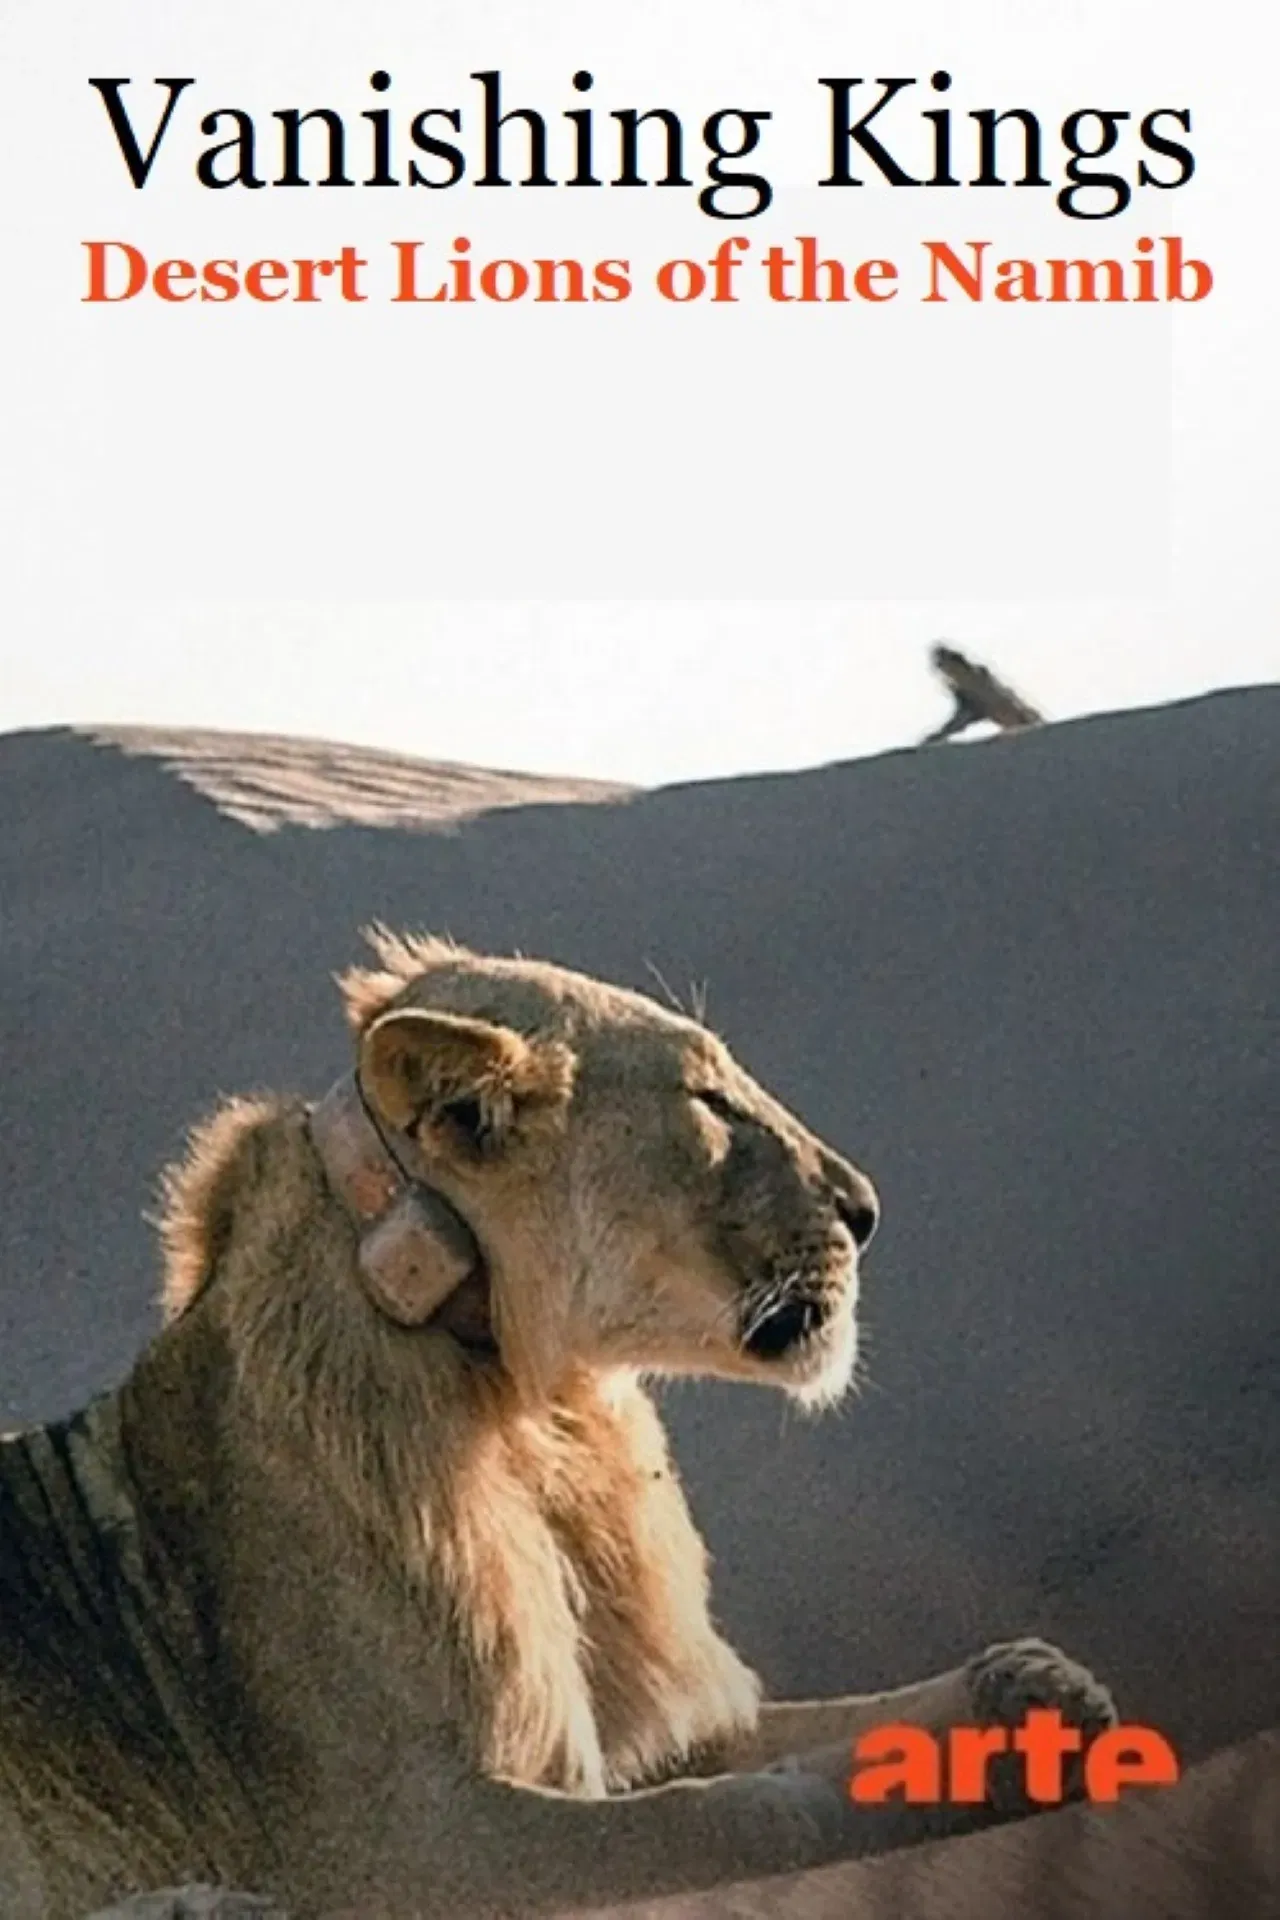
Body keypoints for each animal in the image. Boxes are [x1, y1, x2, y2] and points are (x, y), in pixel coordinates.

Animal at [0, 931, 1115, 1920]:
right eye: (709, 1102)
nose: (866, 1208)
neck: (540, 1413)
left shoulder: (665, 1711)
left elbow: (819, 1729)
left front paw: (1031, 1693)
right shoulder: (405, 1840)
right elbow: (720, 1817)